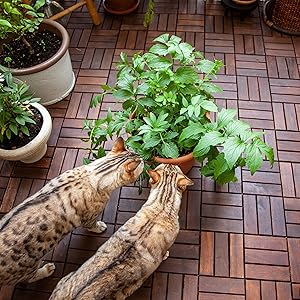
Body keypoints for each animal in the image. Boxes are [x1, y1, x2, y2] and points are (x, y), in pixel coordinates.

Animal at [0, 138, 144, 286]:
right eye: (142, 163)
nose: (144, 158)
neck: (93, 174)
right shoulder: (90, 218)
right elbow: (92, 225)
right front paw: (99, 227)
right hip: (28, 266)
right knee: (28, 279)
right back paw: (46, 270)